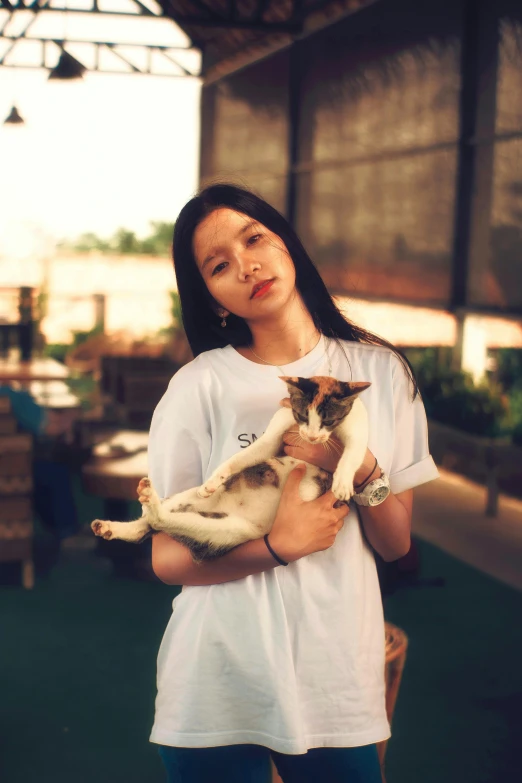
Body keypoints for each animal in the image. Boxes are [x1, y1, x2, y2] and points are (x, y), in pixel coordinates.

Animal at [91, 376, 372, 560]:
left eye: (329, 420)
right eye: (302, 416)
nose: (312, 437)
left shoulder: (358, 430)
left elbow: (353, 453)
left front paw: (342, 483)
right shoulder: (275, 436)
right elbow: (243, 456)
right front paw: (215, 479)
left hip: (232, 531)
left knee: (155, 523)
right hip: (197, 509)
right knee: (153, 521)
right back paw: (130, 513)